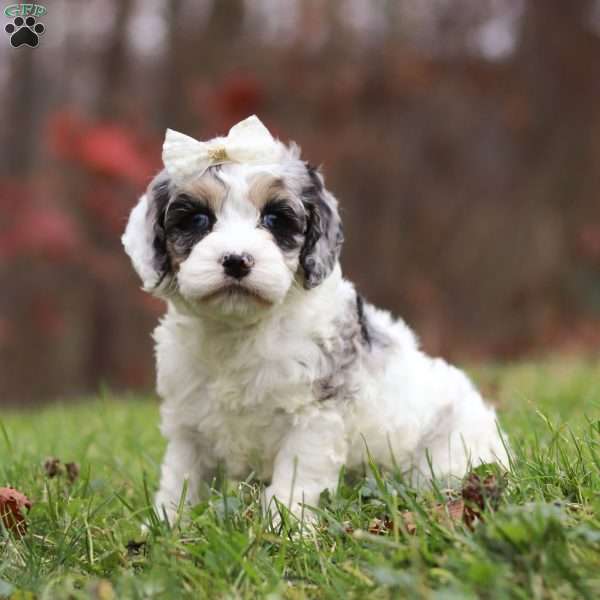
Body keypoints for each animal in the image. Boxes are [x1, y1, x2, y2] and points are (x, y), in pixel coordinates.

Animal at [122, 115, 506, 524]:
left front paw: (286, 525)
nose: (237, 260)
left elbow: (295, 476)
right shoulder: (188, 424)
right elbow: (182, 478)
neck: (240, 331)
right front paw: (167, 523)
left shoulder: (313, 415)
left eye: (274, 219)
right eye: (197, 219)